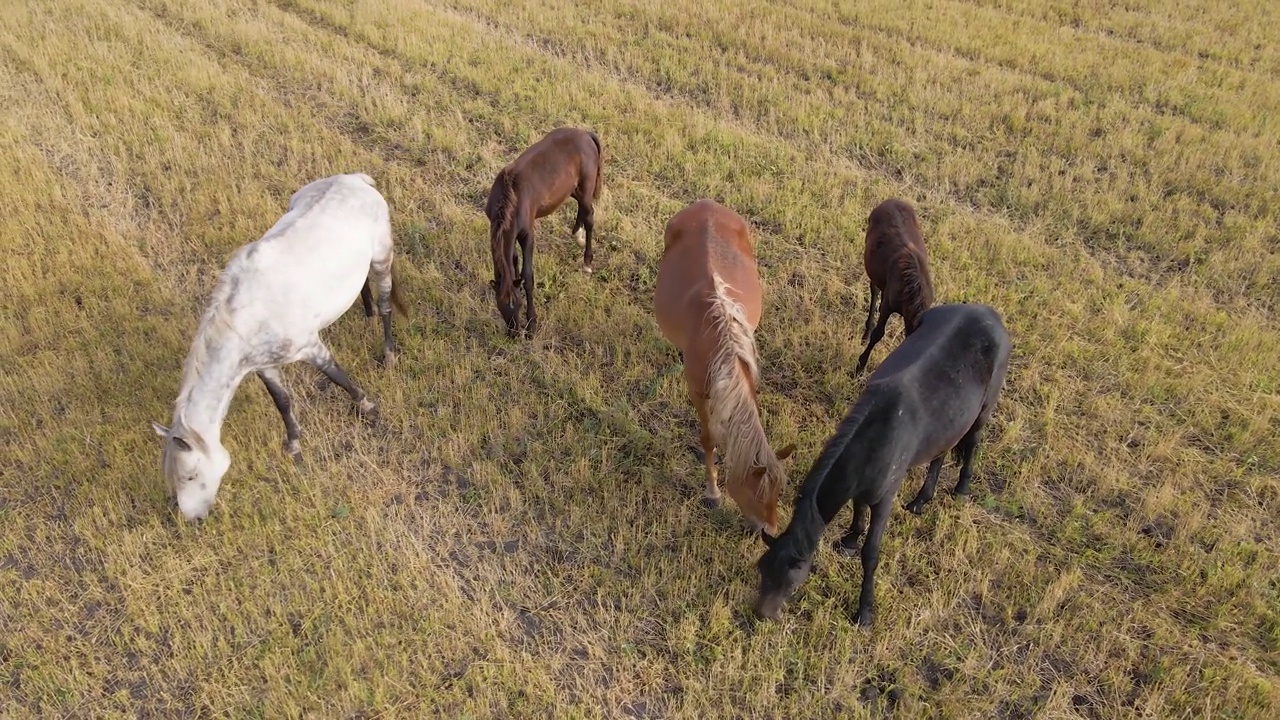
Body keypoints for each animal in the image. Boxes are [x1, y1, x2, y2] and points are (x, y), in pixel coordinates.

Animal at [152, 174, 407, 520]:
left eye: (190, 475)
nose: (192, 518)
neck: (246, 315)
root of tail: (355, 179)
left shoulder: (310, 346)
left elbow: (338, 377)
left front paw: (369, 409)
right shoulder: (264, 365)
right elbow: (283, 401)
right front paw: (294, 448)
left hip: (382, 256)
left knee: (385, 304)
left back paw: (388, 353)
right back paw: (365, 313)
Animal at [483, 125, 604, 335]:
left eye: (519, 304)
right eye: (501, 306)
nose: (514, 334)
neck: (510, 198)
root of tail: (586, 134)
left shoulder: (527, 235)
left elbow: (527, 276)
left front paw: (532, 323)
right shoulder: (510, 236)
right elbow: (514, 263)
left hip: (586, 188)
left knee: (589, 216)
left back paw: (587, 261)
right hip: (572, 189)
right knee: (581, 208)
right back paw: (577, 234)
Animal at [655, 198, 793, 535]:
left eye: (779, 492)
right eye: (756, 492)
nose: (768, 531)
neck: (718, 340)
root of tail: (706, 203)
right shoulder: (698, 392)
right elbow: (708, 439)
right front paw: (713, 493)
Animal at [747, 301, 1008, 622]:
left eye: (791, 584)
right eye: (762, 571)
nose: (762, 614)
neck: (874, 438)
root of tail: (991, 315)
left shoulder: (884, 499)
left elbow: (871, 552)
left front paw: (865, 611)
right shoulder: (860, 487)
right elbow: (858, 513)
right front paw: (849, 540)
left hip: (984, 410)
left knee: (971, 442)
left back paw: (961, 488)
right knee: (941, 452)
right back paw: (921, 500)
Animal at [855, 197, 936, 371]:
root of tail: (891, 200)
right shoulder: (888, 305)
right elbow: (878, 333)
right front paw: (860, 365)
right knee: (874, 291)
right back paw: (866, 331)